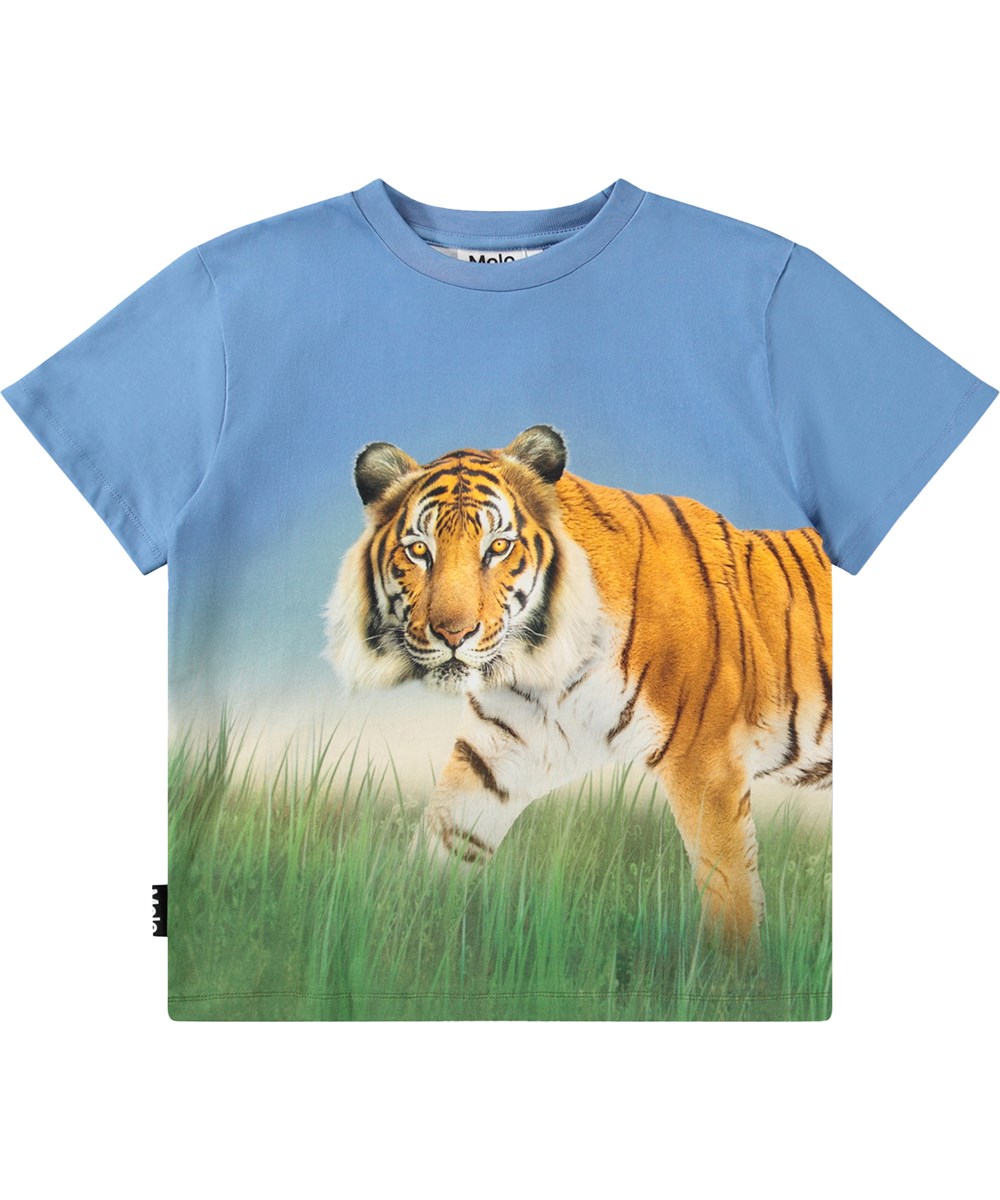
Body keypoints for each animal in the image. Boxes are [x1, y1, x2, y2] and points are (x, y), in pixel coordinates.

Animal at [324, 425, 832, 945]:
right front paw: (401, 938)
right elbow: (439, 848)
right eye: (419, 550)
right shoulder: (493, 755)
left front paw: (728, 966)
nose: (453, 633)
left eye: (498, 548)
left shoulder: (706, 760)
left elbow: (729, 892)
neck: (545, 667)